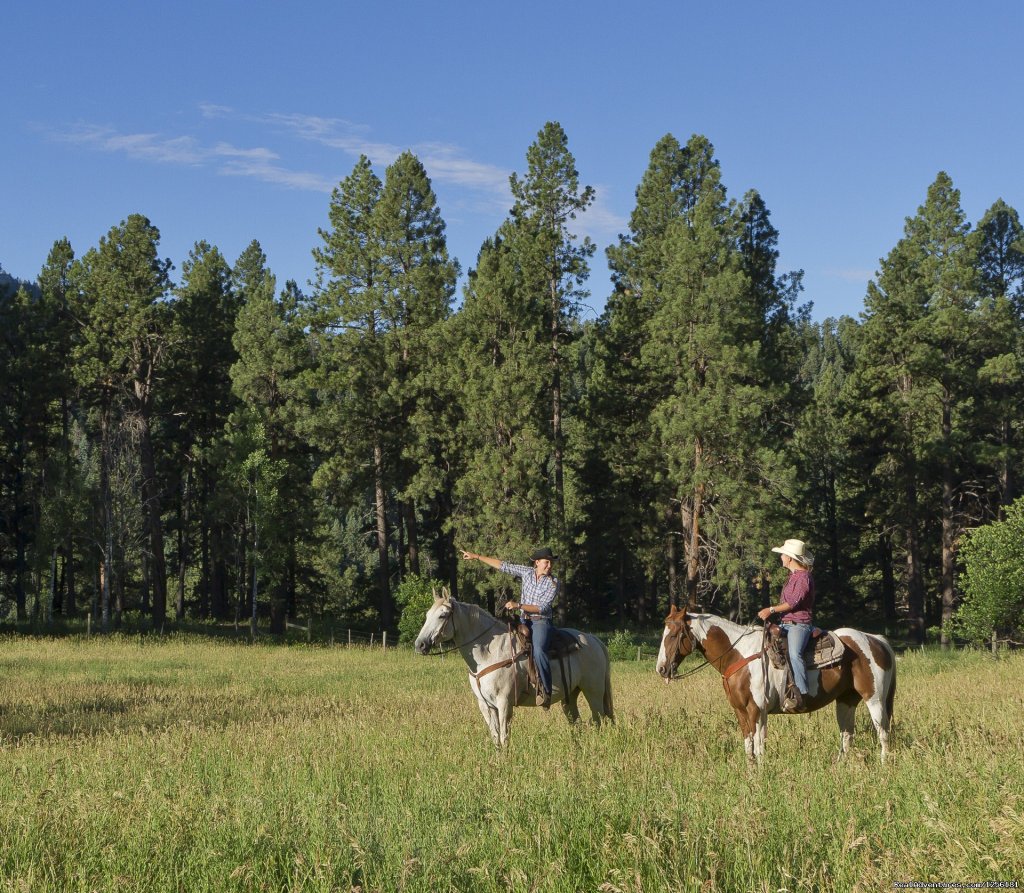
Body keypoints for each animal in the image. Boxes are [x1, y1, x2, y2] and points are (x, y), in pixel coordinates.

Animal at [411, 589, 610, 749]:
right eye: (428, 614)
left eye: (442, 615)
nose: (420, 645)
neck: (489, 652)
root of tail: (593, 640)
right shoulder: (485, 705)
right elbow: (495, 736)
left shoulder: (504, 702)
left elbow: (504, 736)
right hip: (570, 696)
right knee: (577, 722)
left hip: (594, 692)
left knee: (599, 720)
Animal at [655, 610, 897, 761]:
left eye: (674, 635)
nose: (661, 669)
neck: (738, 655)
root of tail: (876, 640)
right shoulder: (740, 711)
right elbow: (748, 746)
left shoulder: (757, 710)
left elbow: (759, 745)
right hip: (846, 701)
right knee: (847, 735)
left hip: (874, 699)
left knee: (883, 733)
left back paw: (883, 765)